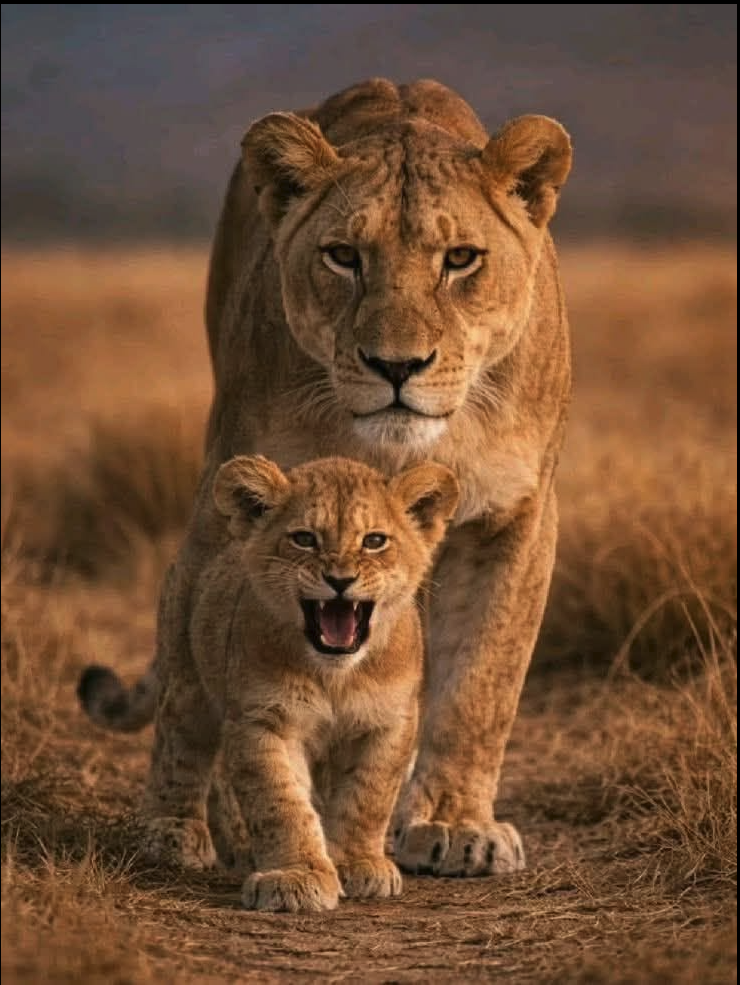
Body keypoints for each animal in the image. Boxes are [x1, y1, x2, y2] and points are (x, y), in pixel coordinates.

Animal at [83, 454, 459, 912]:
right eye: (304, 539)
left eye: (374, 541)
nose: (340, 580)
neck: (336, 675)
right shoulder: (261, 719)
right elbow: (281, 802)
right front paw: (296, 878)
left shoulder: (389, 722)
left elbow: (367, 797)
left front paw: (357, 864)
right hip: (188, 685)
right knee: (178, 749)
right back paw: (174, 832)